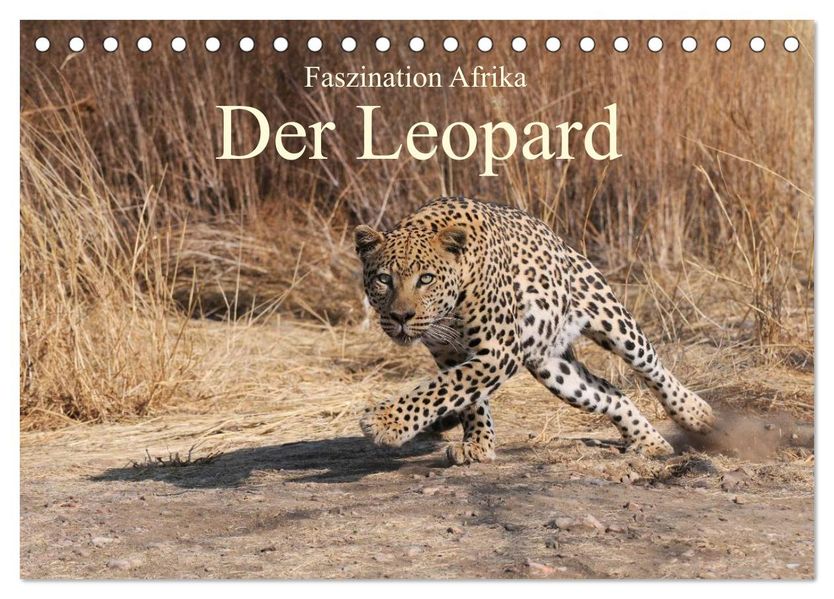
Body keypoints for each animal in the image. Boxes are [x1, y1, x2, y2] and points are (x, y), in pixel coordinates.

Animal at [354, 196, 715, 465]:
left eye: (426, 279)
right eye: (384, 279)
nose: (401, 316)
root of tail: (557, 239)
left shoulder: (498, 350)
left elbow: (443, 388)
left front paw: (386, 422)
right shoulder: (451, 354)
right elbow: (467, 396)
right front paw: (478, 444)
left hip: (611, 318)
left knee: (652, 366)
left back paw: (696, 413)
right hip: (554, 370)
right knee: (611, 393)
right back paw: (651, 442)